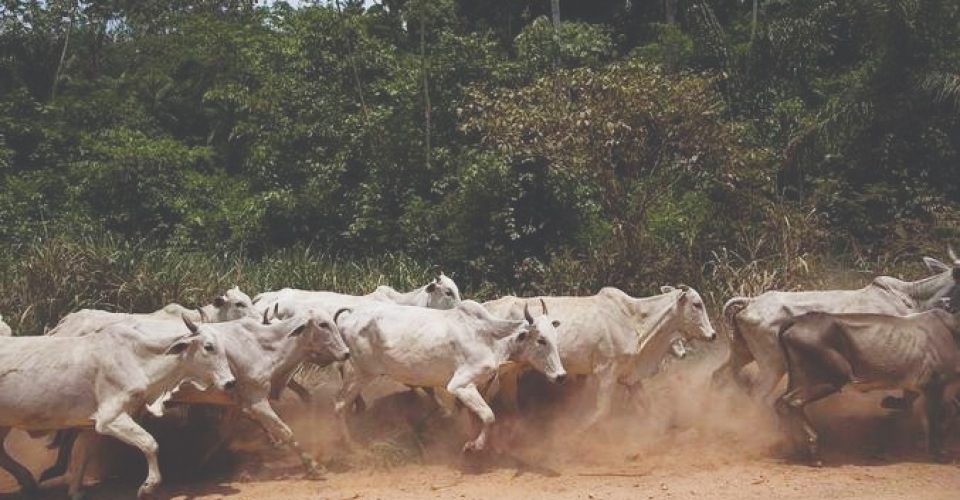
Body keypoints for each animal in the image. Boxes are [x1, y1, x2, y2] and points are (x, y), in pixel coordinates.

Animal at [0, 317, 235, 499]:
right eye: (208, 346)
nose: (230, 382)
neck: (138, 359)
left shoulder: (90, 425)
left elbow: (83, 456)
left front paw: (76, 491)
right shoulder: (110, 419)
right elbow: (150, 444)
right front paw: (147, 487)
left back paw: (29, 483)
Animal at [333, 300, 565, 452]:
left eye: (554, 337)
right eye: (541, 340)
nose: (561, 376)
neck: (491, 338)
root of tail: (349, 316)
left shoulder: (478, 385)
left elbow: (476, 418)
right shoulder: (459, 385)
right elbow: (489, 416)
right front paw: (474, 445)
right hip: (359, 373)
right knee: (339, 405)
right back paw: (352, 447)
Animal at [484, 285, 717, 427]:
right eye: (697, 304)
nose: (713, 334)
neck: (633, 320)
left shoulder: (629, 376)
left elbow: (648, 406)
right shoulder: (606, 372)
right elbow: (601, 411)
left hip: (509, 374)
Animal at [713, 253, 959, 403]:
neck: (913, 299)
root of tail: (751, 302)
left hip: (742, 354)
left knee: (719, 376)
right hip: (772, 366)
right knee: (757, 396)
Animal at [775, 278, 960, 466]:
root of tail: (797, 320)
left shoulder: (915, 387)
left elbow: (914, 409)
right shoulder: (935, 385)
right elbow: (936, 419)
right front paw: (938, 453)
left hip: (800, 375)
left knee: (781, 403)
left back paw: (798, 449)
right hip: (835, 376)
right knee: (792, 401)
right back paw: (813, 452)